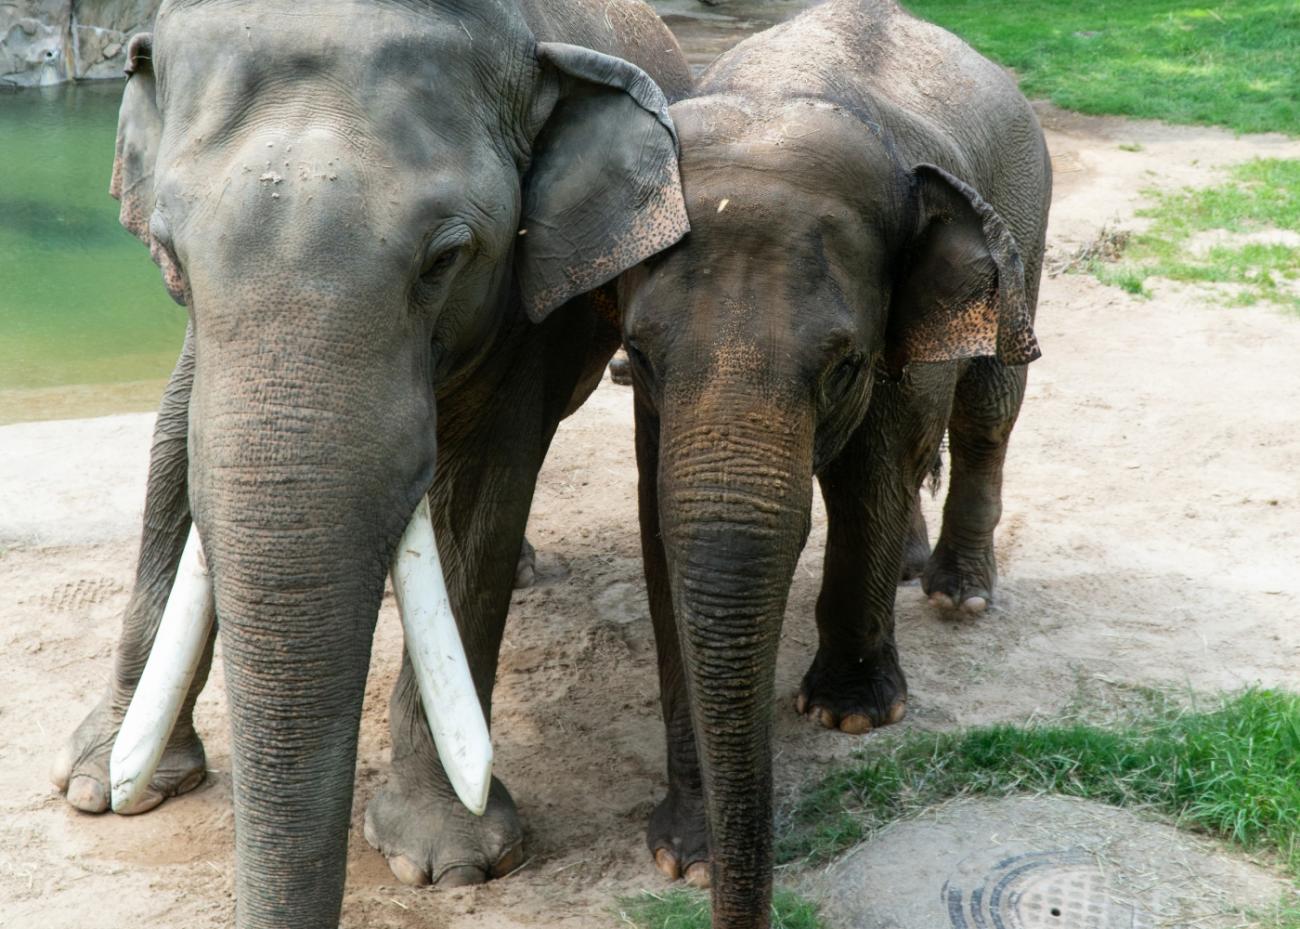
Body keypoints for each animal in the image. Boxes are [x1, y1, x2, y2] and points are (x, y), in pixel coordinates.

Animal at [616, 3, 1045, 925]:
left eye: (842, 364)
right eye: (637, 354)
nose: (714, 873)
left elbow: (868, 480)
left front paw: (848, 715)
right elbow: (661, 526)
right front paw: (684, 855)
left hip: (1026, 207)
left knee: (988, 405)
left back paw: (959, 594)